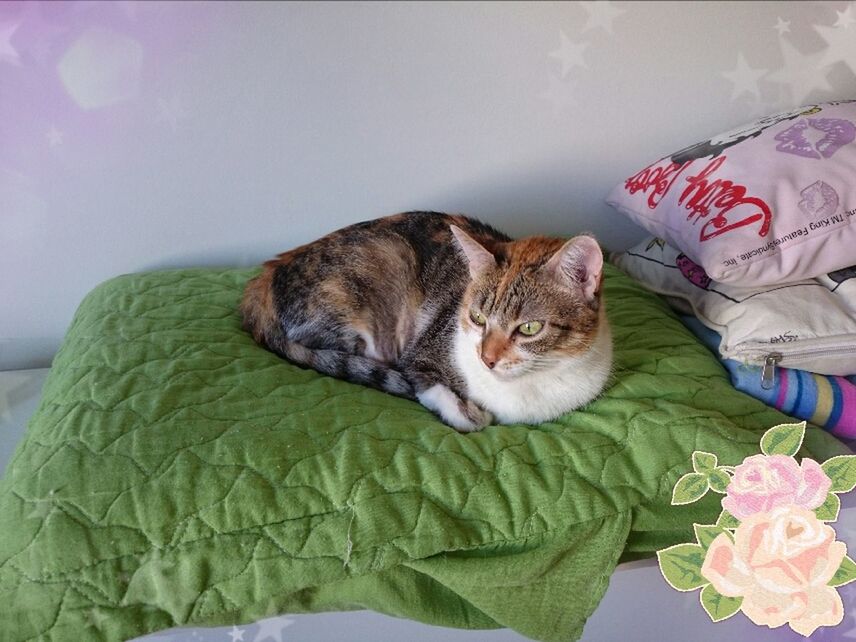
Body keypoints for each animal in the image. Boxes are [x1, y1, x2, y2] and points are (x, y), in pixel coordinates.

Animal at [241, 211, 612, 430]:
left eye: (529, 328)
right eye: (477, 318)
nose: (486, 359)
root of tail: (264, 278)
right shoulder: (420, 355)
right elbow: (432, 388)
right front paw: (467, 412)